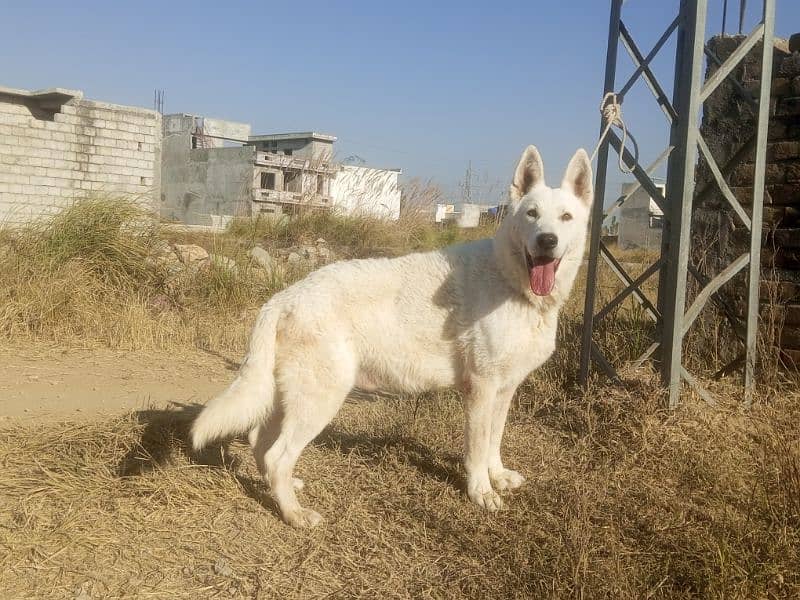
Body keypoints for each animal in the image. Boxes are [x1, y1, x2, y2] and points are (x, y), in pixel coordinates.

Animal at [192, 148, 592, 528]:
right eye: (531, 214)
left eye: (566, 218)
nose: (547, 241)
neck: (512, 283)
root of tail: (282, 298)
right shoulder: (481, 389)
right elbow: (477, 449)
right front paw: (481, 491)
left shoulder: (504, 390)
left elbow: (494, 440)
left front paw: (498, 476)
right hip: (320, 400)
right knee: (277, 456)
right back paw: (294, 514)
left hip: (289, 397)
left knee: (258, 440)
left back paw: (284, 489)